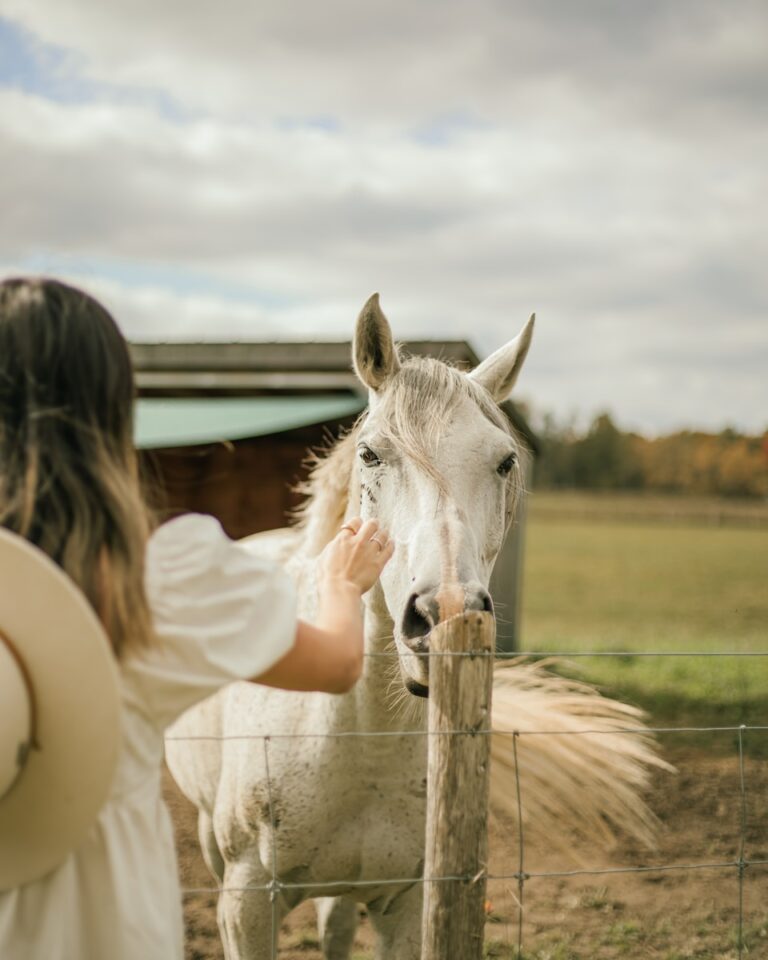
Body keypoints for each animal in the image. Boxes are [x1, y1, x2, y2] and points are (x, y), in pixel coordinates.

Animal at [165, 295, 668, 959]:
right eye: (370, 454)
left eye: (505, 461)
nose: (443, 615)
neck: (360, 744)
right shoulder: (246, 908)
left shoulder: (406, 905)